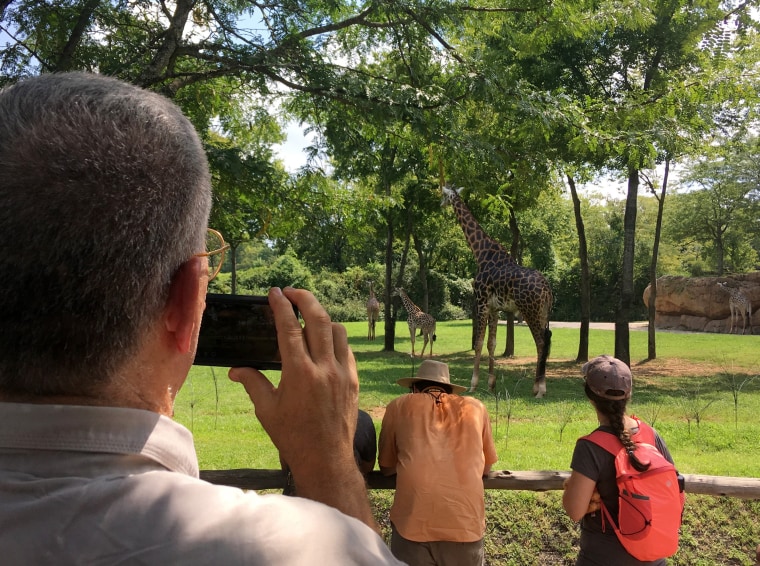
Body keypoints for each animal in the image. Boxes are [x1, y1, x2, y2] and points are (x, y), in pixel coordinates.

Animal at [440, 186, 552, 400]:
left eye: (444, 195)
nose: (440, 204)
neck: (481, 252)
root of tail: (547, 288)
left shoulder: (481, 302)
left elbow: (478, 342)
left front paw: (473, 385)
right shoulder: (494, 308)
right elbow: (491, 343)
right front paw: (491, 385)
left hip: (530, 310)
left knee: (541, 343)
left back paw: (540, 390)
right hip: (543, 312)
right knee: (546, 342)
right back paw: (537, 387)